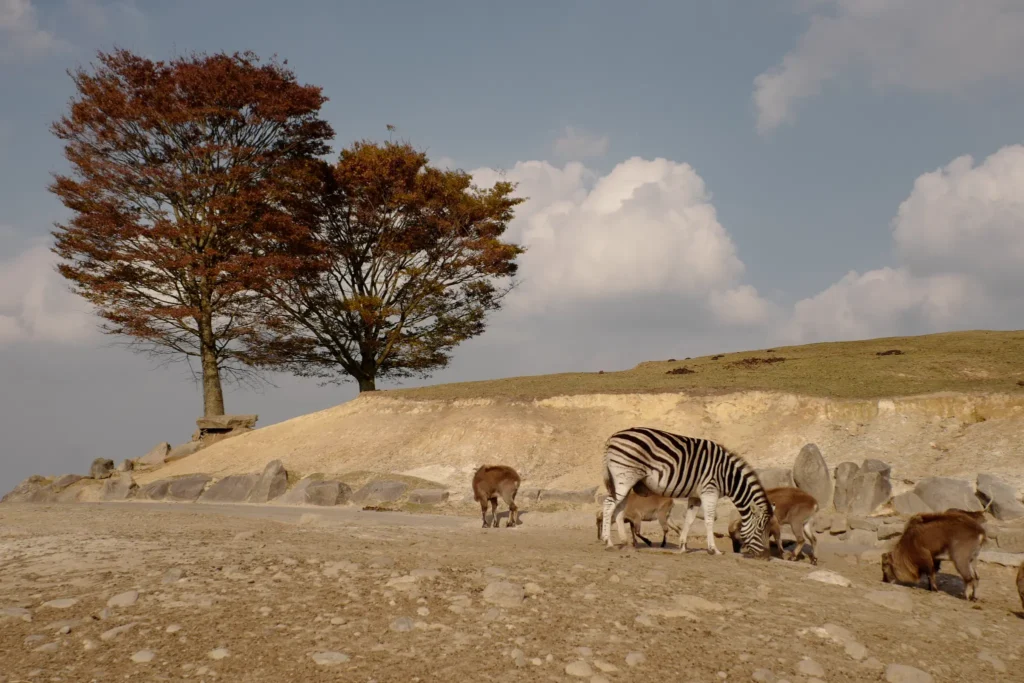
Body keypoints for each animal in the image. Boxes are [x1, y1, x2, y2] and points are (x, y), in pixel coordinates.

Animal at [599, 426, 773, 559]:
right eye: (761, 529)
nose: (766, 556)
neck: (727, 476)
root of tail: (612, 437)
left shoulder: (695, 497)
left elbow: (689, 520)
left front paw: (682, 547)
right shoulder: (710, 491)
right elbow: (709, 520)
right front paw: (714, 549)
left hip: (625, 481)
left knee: (619, 509)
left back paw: (625, 542)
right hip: (624, 478)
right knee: (608, 505)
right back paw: (608, 542)